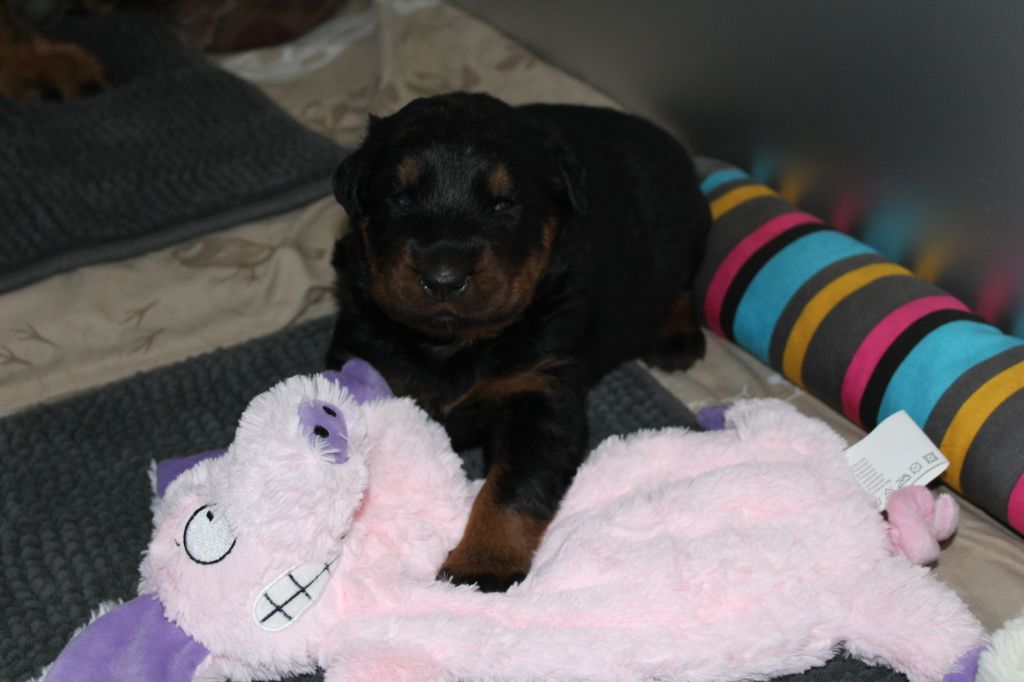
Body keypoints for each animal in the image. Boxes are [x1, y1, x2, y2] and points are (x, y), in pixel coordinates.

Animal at [327, 92, 711, 592]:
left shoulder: (541, 392)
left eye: (504, 204)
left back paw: (677, 335)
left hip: (687, 231)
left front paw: (481, 562)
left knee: (683, 284)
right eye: (399, 195)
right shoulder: (357, 354)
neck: (452, 344)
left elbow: (511, 488)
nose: (443, 277)